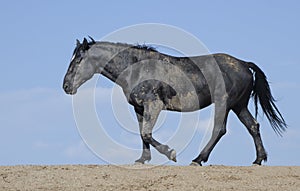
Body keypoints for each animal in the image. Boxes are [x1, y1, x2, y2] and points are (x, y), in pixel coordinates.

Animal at [62, 37, 286, 166]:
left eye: (78, 60)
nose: (65, 86)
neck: (137, 67)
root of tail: (243, 64)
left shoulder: (154, 105)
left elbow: (147, 133)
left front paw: (171, 153)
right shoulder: (139, 108)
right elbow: (142, 133)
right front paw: (142, 160)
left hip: (225, 103)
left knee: (219, 129)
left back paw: (198, 160)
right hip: (239, 105)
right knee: (253, 126)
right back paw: (258, 160)